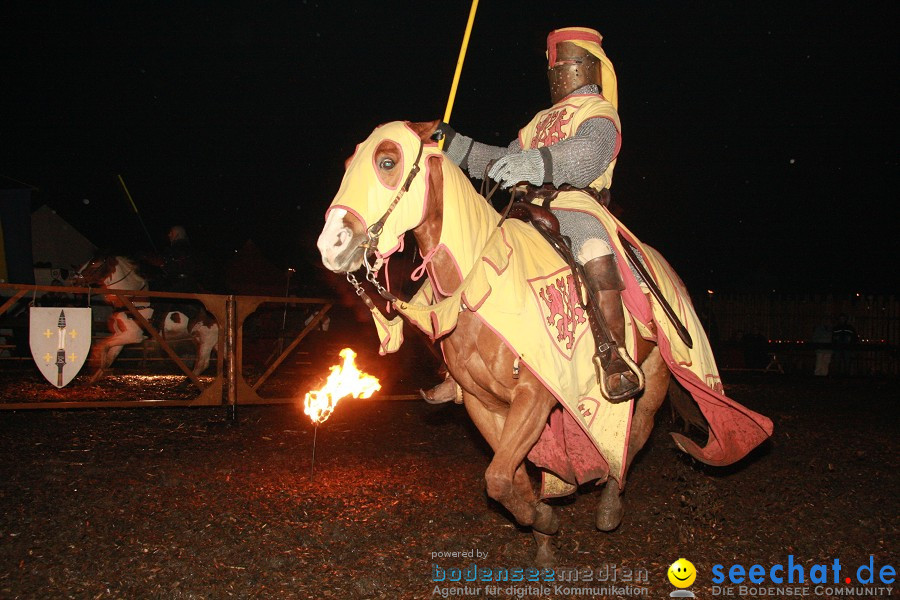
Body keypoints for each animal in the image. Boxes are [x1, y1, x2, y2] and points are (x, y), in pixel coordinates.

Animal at [70, 251, 218, 382]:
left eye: (93, 263)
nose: (75, 280)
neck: (133, 299)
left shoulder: (133, 336)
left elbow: (103, 347)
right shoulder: (122, 334)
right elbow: (110, 354)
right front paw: (93, 379)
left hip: (207, 338)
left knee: (202, 364)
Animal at [316, 119, 772, 564]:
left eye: (387, 162)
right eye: (349, 164)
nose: (331, 245)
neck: (482, 282)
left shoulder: (534, 396)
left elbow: (498, 478)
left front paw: (547, 521)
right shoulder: (484, 405)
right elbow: (508, 479)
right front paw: (543, 531)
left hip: (655, 376)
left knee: (635, 434)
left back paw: (610, 502)